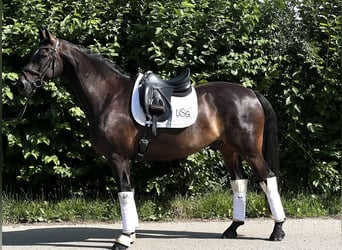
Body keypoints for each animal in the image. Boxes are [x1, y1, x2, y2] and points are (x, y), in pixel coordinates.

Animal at [18, 27, 286, 250]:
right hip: (228, 150)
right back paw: (232, 228)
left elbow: (124, 192)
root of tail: (251, 93)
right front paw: (132, 234)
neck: (109, 96)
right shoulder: (122, 158)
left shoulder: (117, 157)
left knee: (267, 178)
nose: (21, 85)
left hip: (250, 151)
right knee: (239, 182)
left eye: (43, 54)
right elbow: (129, 192)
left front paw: (124, 238)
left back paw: (278, 230)